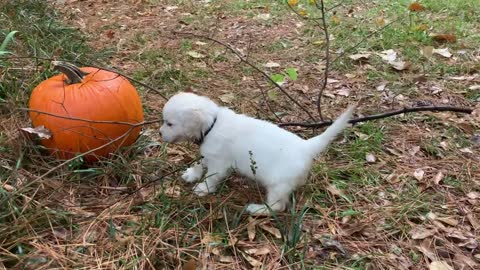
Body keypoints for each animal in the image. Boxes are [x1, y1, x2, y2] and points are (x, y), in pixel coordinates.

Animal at [159, 93, 354, 215]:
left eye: (169, 123)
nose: (160, 134)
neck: (212, 124)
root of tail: (306, 146)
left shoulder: (220, 163)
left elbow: (211, 177)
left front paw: (203, 188)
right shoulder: (210, 155)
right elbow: (201, 164)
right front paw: (192, 174)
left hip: (277, 185)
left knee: (278, 207)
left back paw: (257, 209)